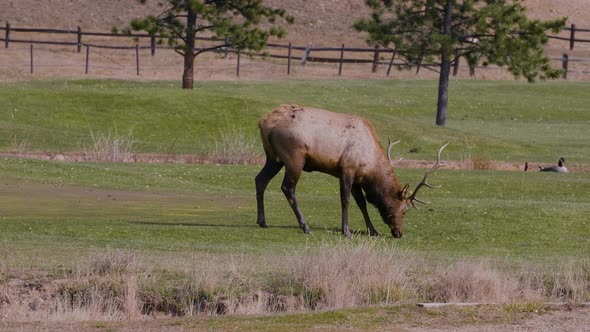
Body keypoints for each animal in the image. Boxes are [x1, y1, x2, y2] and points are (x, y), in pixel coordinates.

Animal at [254, 105, 448, 237]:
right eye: (405, 210)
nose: (399, 233)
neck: (371, 166)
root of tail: (263, 122)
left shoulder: (357, 178)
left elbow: (362, 203)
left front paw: (373, 230)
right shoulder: (347, 169)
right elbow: (345, 200)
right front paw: (346, 230)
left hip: (273, 158)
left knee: (259, 180)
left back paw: (262, 221)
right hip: (294, 157)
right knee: (288, 188)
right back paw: (305, 226)